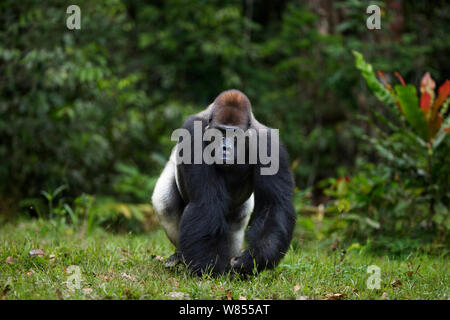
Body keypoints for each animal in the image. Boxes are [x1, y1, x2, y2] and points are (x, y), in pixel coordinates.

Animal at [153, 89, 298, 276]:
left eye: (234, 134)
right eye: (220, 132)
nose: (224, 148)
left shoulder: (270, 145)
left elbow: (274, 205)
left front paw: (253, 259)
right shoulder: (193, 133)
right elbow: (205, 202)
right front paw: (207, 267)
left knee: (237, 220)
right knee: (165, 204)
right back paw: (180, 255)